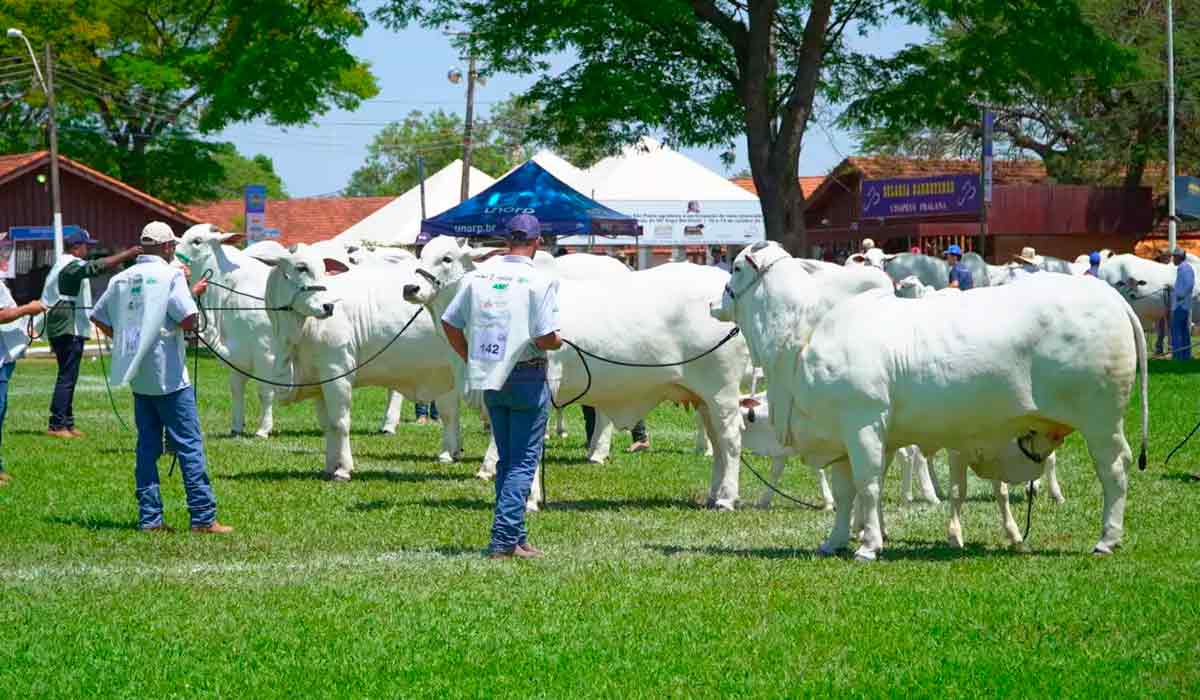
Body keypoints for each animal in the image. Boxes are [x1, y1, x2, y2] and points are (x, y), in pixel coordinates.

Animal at [253, 243, 463, 480]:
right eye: (301, 267)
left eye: (324, 269)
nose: (328, 306)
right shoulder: (319, 380)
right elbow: (327, 425)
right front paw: (330, 466)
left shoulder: (337, 371)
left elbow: (340, 422)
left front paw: (343, 469)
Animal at [405, 235, 748, 509]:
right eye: (420, 255)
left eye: (447, 258)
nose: (410, 286)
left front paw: (529, 499)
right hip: (704, 398)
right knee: (718, 443)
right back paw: (714, 494)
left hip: (722, 392)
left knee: (730, 440)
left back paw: (727, 499)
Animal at [705, 241, 1147, 559]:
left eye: (738, 268)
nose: (714, 301)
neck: (807, 334)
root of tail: (1111, 297)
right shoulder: (841, 440)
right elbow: (846, 494)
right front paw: (835, 541)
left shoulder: (865, 426)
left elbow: (868, 487)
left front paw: (869, 546)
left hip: (1101, 420)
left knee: (1114, 470)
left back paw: (1107, 539)